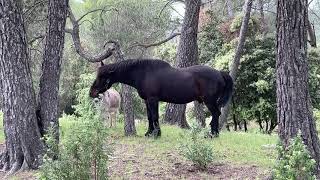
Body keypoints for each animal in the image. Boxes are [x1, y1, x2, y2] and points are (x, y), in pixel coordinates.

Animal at [90, 58, 232, 136]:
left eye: (102, 77)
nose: (91, 92)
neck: (144, 73)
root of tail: (219, 73)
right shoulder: (147, 101)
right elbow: (149, 117)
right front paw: (149, 133)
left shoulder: (153, 100)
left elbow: (154, 116)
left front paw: (156, 134)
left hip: (210, 101)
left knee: (216, 114)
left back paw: (213, 134)